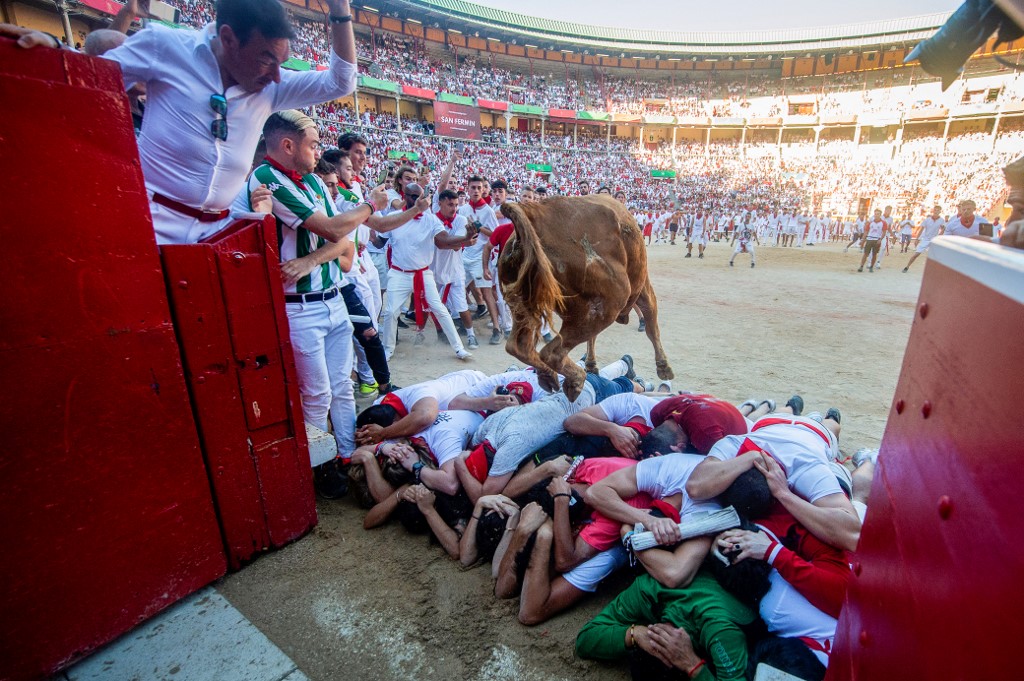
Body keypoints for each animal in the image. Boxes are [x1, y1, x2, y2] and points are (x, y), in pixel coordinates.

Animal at [495, 193, 671, 401]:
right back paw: (575, 380)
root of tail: (535, 213)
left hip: (525, 305)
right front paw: (664, 367)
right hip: (607, 306)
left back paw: (550, 377)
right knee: (551, 353)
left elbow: (593, 339)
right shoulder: (642, 288)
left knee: (519, 346)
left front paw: (591, 364)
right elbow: (652, 324)